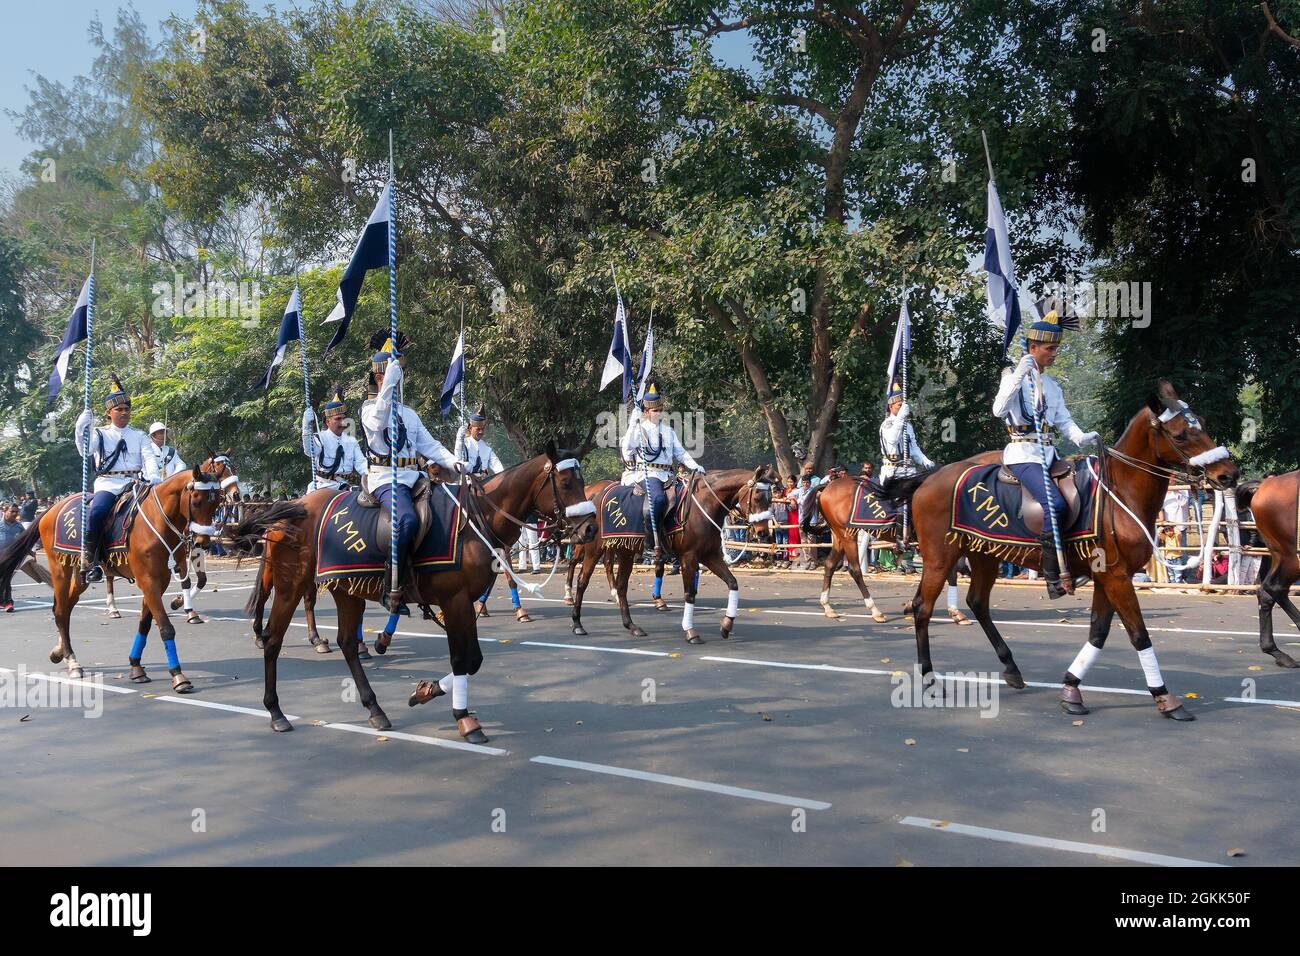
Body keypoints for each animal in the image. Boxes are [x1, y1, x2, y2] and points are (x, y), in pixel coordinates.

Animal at [0, 457, 241, 691]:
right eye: (197, 500)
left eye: (216, 503)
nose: (203, 542)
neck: (157, 520)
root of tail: (49, 511)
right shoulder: (149, 581)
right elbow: (165, 627)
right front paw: (178, 675)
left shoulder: (160, 580)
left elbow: (145, 624)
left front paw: (136, 667)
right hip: (60, 569)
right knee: (60, 610)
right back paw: (73, 661)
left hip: (80, 576)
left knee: (65, 608)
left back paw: (61, 651)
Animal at [231, 444, 595, 743]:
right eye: (565, 483)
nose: (591, 527)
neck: (475, 521)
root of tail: (294, 507)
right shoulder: (455, 601)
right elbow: (462, 659)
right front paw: (464, 719)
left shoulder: (463, 604)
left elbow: (473, 659)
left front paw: (426, 691)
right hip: (290, 585)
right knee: (273, 639)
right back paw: (276, 711)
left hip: (345, 590)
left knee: (347, 643)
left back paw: (375, 708)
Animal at [566, 468, 769, 647]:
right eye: (758, 497)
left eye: (770, 498)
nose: (763, 532)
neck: (704, 504)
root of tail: (596, 495)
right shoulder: (689, 557)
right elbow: (689, 594)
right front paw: (690, 631)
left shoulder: (710, 555)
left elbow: (732, 583)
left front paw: (726, 625)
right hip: (593, 548)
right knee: (582, 579)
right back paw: (577, 622)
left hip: (625, 552)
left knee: (621, 585)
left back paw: (631, 625)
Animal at [883, 379, 1237, 717]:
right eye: (1180, 434)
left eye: (1203, 424)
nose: (1228, 475)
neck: (1119, 493)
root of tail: (928, 479)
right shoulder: (1116, 577)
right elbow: (1138, 634)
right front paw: (1165, 698)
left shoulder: (1107, 578)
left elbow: (1098, 632)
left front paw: (1071, 689)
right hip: (940, 558)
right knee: (923, 608)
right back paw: (930, 680)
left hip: (984, 555)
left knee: (978, 603)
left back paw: (1011, 668)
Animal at [1227, 476, 1300, 671]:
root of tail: (1265, 484)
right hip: (1292, 557)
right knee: (1275, 588)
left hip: (1279, 554)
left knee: (1265, 593)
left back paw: (1276, 652)